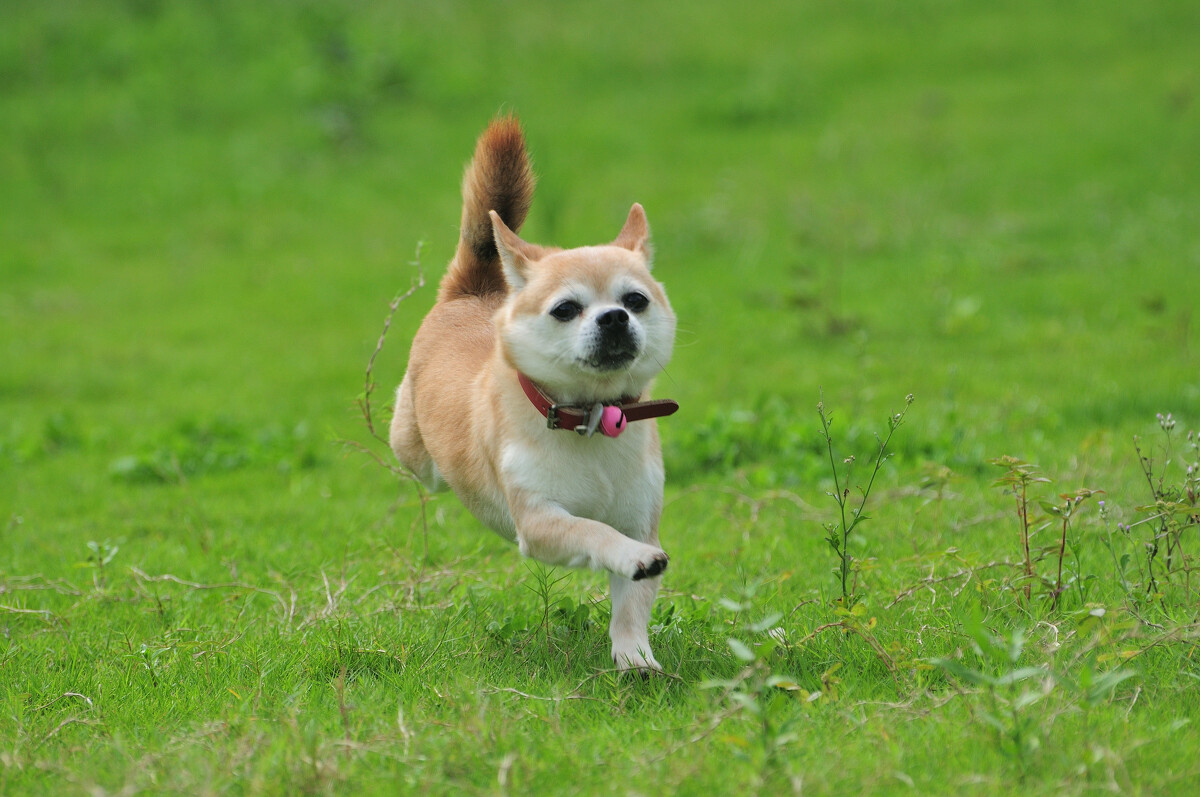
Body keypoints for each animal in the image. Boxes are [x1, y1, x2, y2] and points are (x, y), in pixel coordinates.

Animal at [391, 115, 681, 667]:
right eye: (566, 309)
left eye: (635, 300)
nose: (615, 317)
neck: (591, 416)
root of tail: (476, 291)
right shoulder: (540, 522)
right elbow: (593, 530)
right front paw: (629, 557)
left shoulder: (640, 518)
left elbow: (631, 603)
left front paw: (635, 657)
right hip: (417, 458)